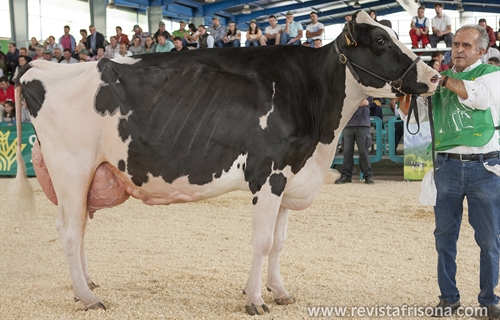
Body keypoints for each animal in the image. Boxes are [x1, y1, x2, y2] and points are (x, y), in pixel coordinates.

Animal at [12, 11, 438, 316]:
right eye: (380, 40)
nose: (434, 76)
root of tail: (38, 67)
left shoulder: (290, 175)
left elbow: (279, 242)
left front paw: (280, 291)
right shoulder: (268, 174)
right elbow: (262, 241)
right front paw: (255, 300)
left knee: (79, 227)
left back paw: (88, 285)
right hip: (72, 168)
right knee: (70, 231)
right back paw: (86, 297)